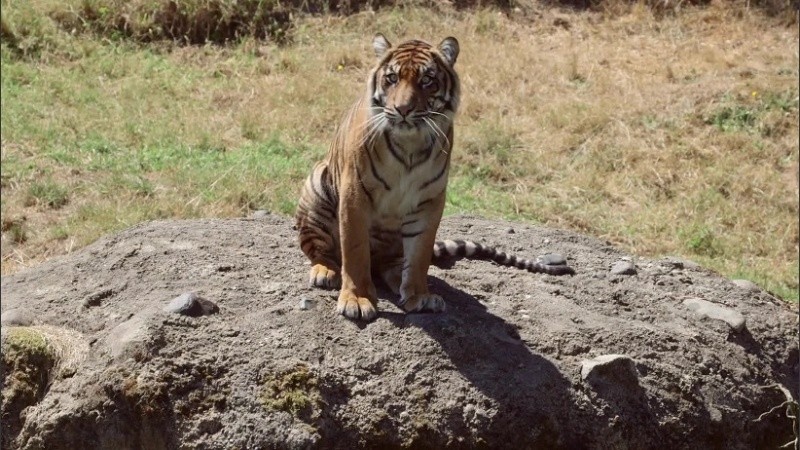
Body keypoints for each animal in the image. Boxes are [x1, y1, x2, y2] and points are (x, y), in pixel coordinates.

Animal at [295, 33, 574, 321]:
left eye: (427, 80)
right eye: (392, 78)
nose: (403, 109)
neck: (410, 143)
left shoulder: (428, 202)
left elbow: (420, 255)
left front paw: (419, 296)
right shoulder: (355, 196)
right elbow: (355, 251)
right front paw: (357, 300)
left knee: (391, 265)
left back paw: (398, 280)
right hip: (317, 186)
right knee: (321, 251)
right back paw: (325, 272)